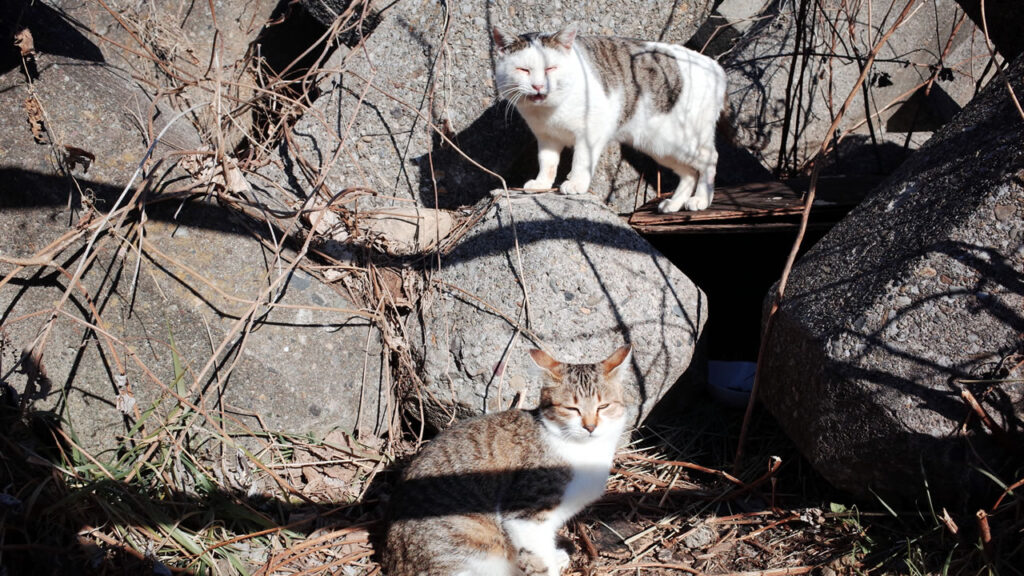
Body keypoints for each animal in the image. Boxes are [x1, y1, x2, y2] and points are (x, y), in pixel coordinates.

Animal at [380, 344, 626, 573]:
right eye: (572, 408)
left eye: (603, 406)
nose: (590, 427)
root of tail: (393, 559)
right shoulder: (524, 515)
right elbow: (538, 559)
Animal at [491, 24, 724, 212]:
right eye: (523, 70)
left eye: (551, 68)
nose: (538, 86)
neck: (548, 111)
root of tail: (715, 67)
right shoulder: (547, 138)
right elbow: (547, 163)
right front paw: (541, 185)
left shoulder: (591, 132)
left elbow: (581, 160)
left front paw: (576, 184)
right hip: (660, 146)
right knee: (689, 173)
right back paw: (674, 204)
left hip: (681, 139)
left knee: (710, 158)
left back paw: (701, 200)